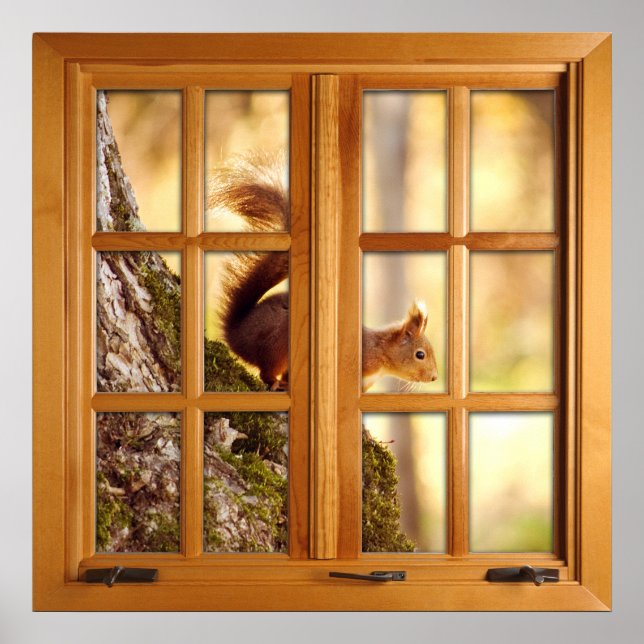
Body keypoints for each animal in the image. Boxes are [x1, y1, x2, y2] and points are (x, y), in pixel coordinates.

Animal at [208, 151, 438, 391]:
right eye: (420, 354)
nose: (434, 377)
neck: (381, 352)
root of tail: (237, 335)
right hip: (277, 344)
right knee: (266, 371)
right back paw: (276, 383)